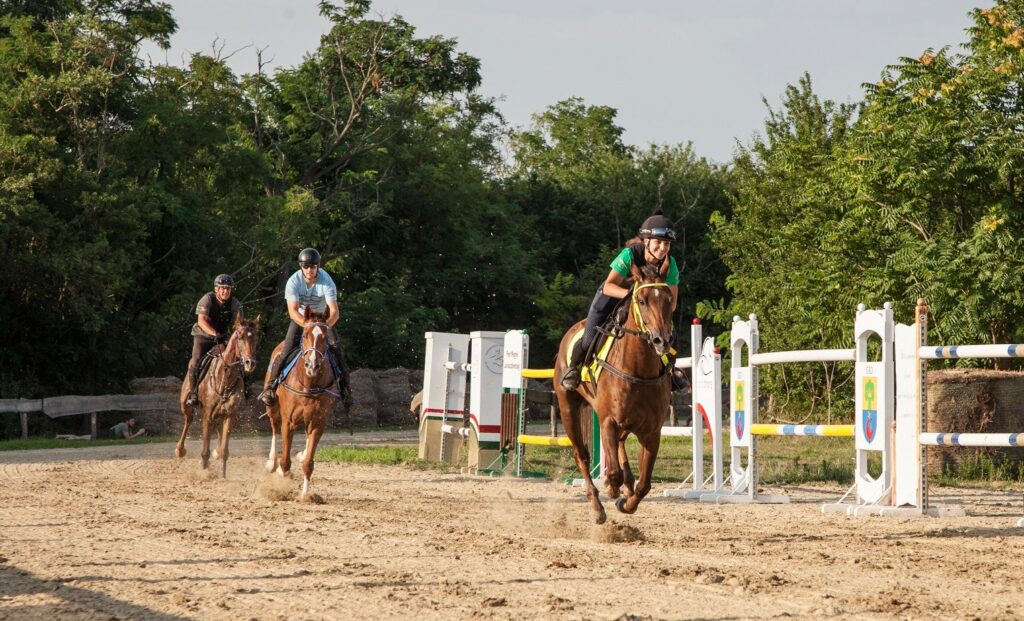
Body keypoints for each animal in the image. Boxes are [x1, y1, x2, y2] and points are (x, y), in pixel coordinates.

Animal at [176, 319, 258, 479]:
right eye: (240, 337)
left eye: (255, 338)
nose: (249, 363)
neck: (225, 376)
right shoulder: (207, 414)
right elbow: (205, 448)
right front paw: (204, 469)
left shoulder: (230, 415)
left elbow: (225, 449)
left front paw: (223, 473)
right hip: (186, 405)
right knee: (188, 421)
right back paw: (180, 450)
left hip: (220, 414)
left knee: (219, 431)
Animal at [262, 311, 337, 502]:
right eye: (305, 335)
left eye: (325, 337)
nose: (313, 365)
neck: (309, 383)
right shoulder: (288, 422)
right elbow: (285, 461)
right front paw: (280, 476)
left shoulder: (318, 423)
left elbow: (308, 463)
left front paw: (305, 495)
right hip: (273, 409)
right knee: (274, 428)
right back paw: (272, 463)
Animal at [557, 258, 675, 524]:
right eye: (642, 300)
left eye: (668, 299)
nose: (661, 340)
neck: (639, 369)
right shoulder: (608, 421)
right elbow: (611, 473)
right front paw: (612, 490)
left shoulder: (652, 431)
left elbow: (645, 484)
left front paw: (626, 501)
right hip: (568, 410)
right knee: (581, 455)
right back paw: (597, 506)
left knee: (621, 448)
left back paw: (627, 485)